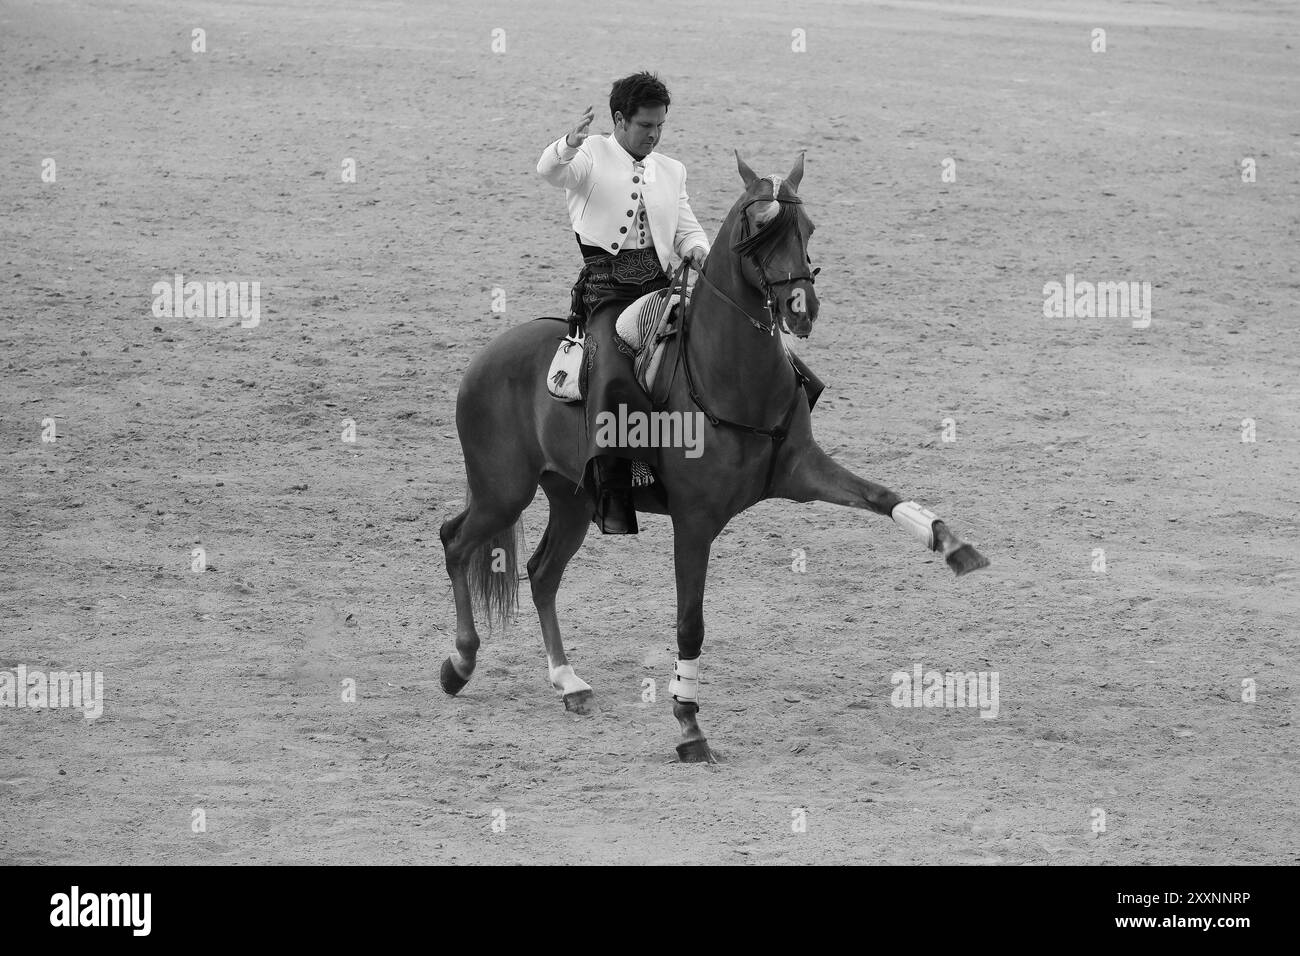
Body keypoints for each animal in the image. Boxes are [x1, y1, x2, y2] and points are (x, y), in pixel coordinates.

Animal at [436, 149, 982, 764]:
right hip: (504, 492)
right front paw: (688, 725)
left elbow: (880, 495)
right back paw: (460, 663)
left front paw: (955, 546)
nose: (801, 309)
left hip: (571, 499)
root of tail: (487, 357)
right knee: (455, 541)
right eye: (755, 233)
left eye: (807, 227)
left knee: (541, 572)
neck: (731, 373)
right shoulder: (694, 521)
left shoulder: (803, 472)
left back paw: (568, 681)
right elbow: (689, 625)